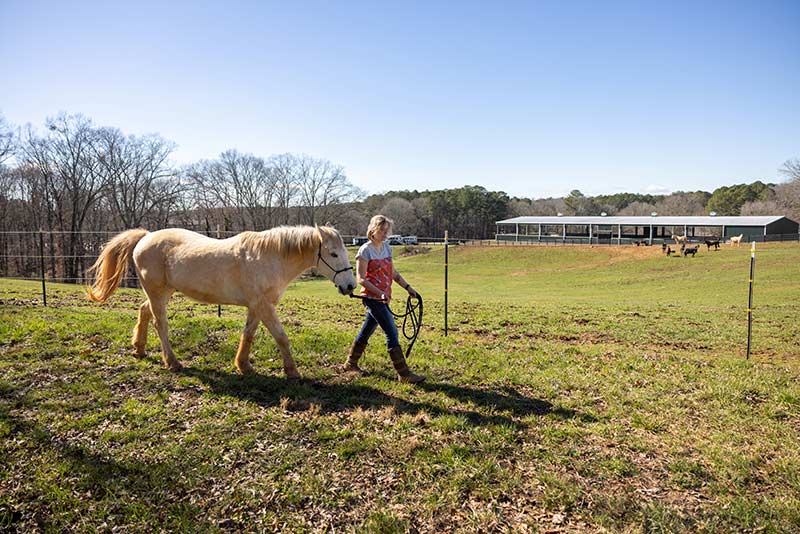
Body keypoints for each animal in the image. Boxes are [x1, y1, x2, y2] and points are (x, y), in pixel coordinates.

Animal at [85, 226, 356, 382]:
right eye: (333, 253)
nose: (351, 286)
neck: (269, 257)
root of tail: (145, 237)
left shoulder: (257, 306)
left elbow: (249, 334)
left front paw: (243, 365)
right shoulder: (264, 306)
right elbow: (281, 337)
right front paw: (292, 372)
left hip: (162, 291)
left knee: (144, 311)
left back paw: (139, 349)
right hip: (158, 293)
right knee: (160, 324)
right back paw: (172, 362)